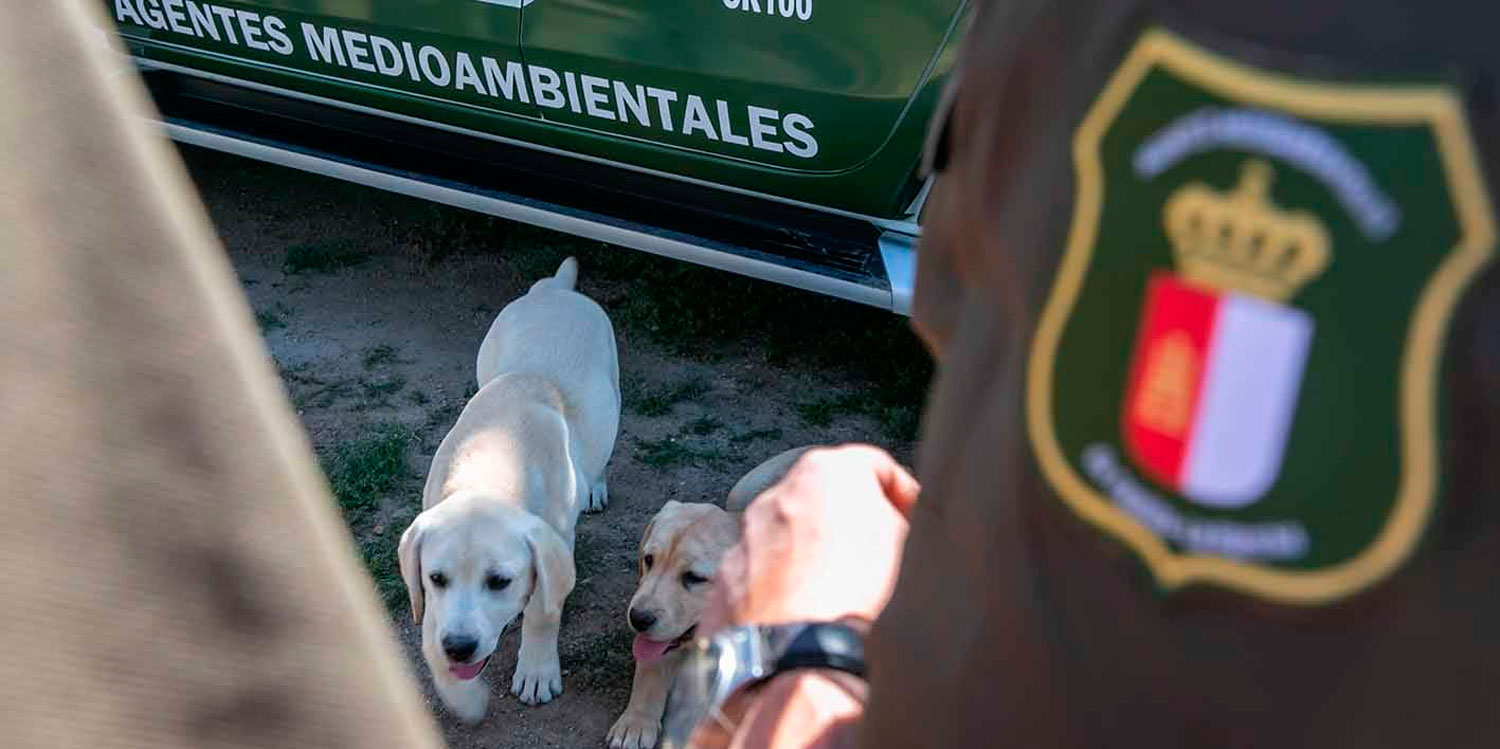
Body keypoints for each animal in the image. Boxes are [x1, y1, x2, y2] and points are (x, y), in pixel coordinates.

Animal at [399, 256, 621, 720]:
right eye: (436, 578)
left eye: (499, 581)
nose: (459, 647)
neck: (499, 457)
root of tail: (555, 289)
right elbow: (430, 628)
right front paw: (460, 693)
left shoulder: (558, 542)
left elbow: (542, 610)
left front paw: (536, 671)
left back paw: (595, 487)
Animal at [609, 447, 816, 747]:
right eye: (648, 560)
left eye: (694, 578)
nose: (638, 618)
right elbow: (650, 665)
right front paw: (635, 723)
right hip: (742, 490)